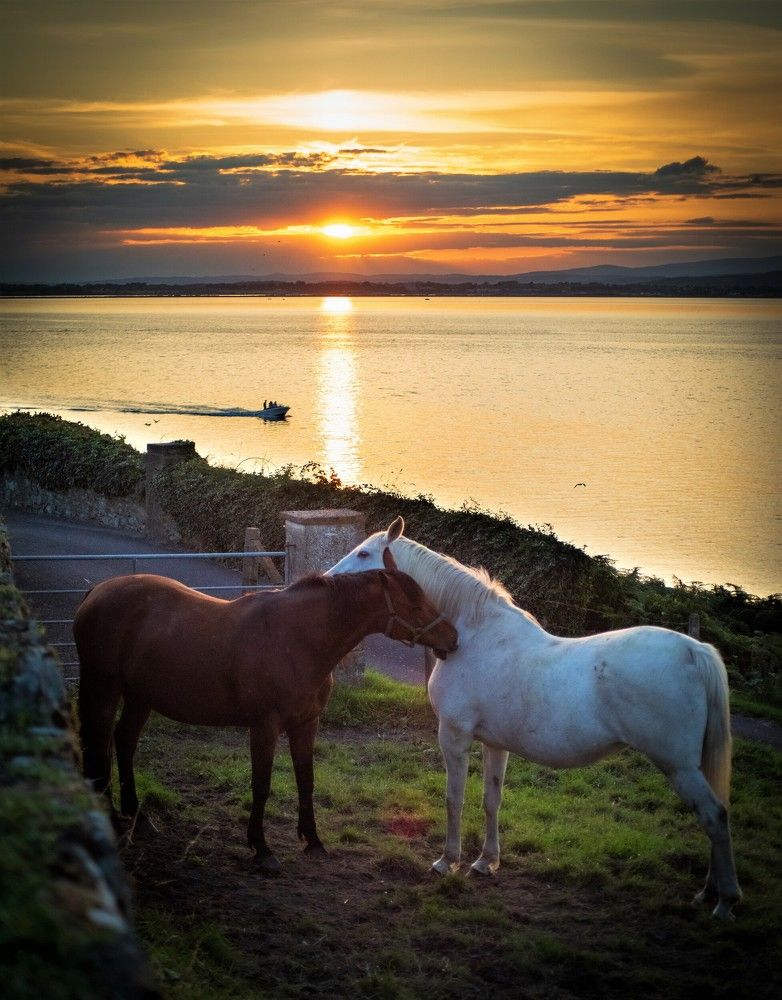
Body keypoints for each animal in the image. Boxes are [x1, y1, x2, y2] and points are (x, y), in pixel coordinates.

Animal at [74, 551, 457, 874]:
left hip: (141, 696)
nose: (453, 639)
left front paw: (313, 841)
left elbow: (306, 780)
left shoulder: (306, 724)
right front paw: (261, 848)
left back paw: (139, 818)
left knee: (124, 742)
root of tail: (96, 592)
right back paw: (111, 820)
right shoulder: (264, 727)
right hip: (103, 687)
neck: (297, 639)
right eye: (415, 603)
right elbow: (261, 784)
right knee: (100, 745)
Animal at [327, 516, 742, 918]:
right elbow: (491, 800)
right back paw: (709, 892)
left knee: (714, 816)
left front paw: (448, 861)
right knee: (714, 816)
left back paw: (725, 901)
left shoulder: (454, 737)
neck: (472, 636)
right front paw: (486, 862)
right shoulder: (494, 744)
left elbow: (453, 799)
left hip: (679, 767)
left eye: (364, 554)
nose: (330, 580)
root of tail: (695, 651)